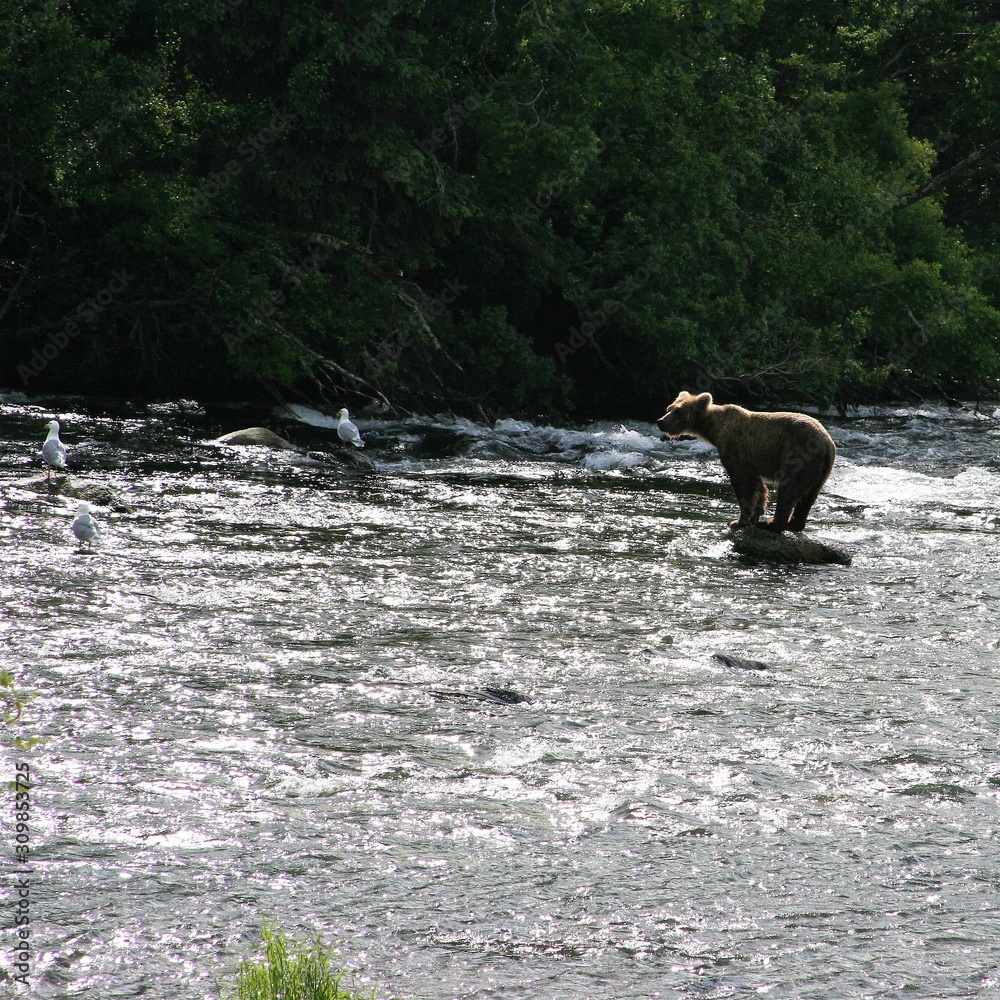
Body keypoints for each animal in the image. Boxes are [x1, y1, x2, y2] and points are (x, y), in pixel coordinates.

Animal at [656, 391, 836, 533]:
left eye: (678, 411)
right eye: (669, 408)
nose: (660, 421)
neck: (715, 430)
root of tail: (828, 444)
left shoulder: (735, 451)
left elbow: (742, 484)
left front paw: (738, 521)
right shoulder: (751, 460)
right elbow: (758, 485)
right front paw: (755, 514)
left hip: (799, 455)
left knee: (789, 490)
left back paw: (771, 524)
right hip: (820, 470)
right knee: (809, 497)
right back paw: (794, 524)